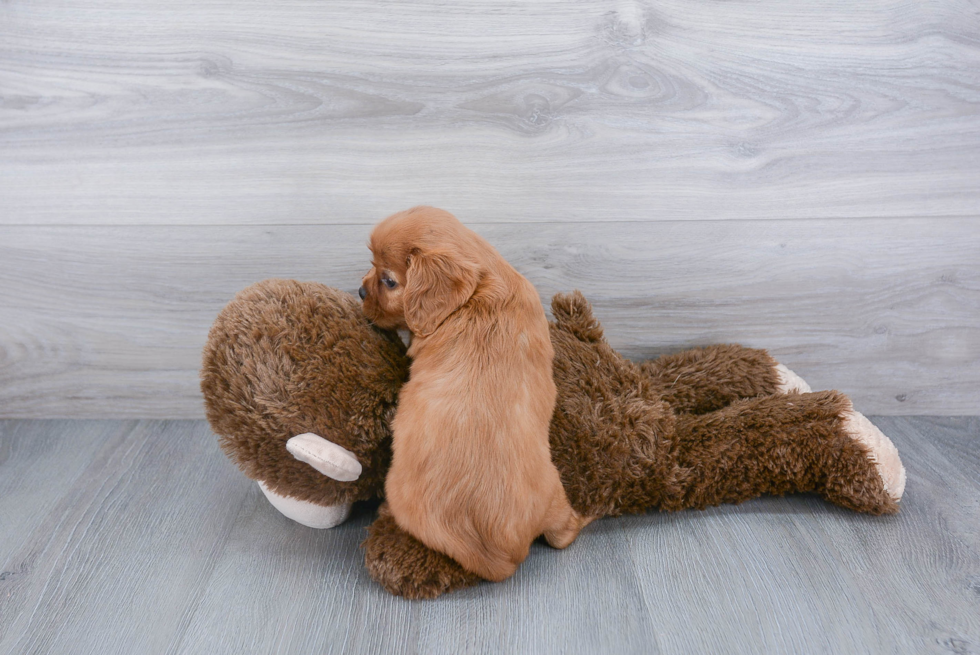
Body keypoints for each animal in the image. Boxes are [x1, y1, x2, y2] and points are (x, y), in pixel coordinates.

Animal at [360, 208, 588, 580]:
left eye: (389, 281)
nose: (359, 291)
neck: (480, 290)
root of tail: (504, 556)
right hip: (554, 493)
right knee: (565, 533)